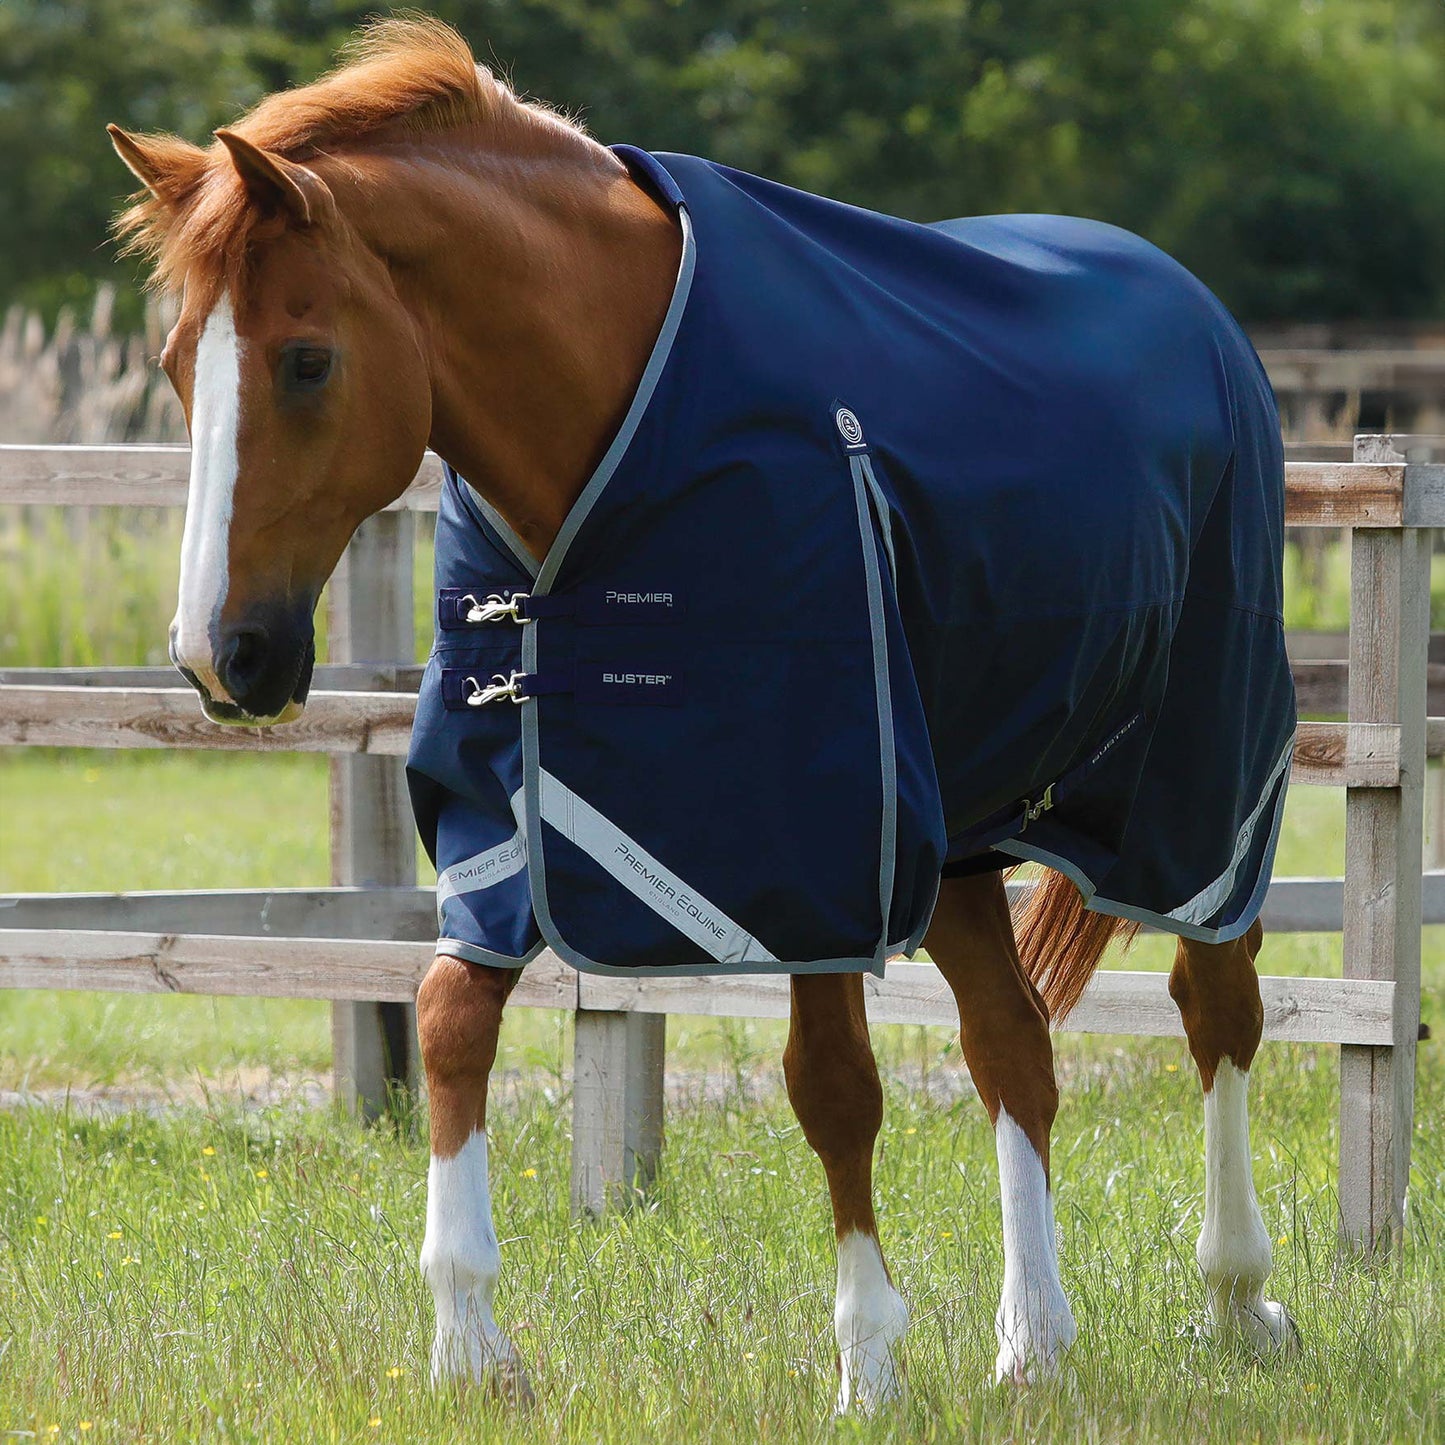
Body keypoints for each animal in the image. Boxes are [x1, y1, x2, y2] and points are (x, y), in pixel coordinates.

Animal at [109, 16, 1298, 1410]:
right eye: (176, 365)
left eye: (306, 360)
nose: (219, 655)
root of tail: (1200, 312)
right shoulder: (514, 815)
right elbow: (449, 1018)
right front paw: (468, 1343)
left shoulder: (810, 842)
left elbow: (831, 1087)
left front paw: (866, 1361)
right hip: (954, 834)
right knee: (1014, 1050)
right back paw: (1032, 1340)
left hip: (1193, 791)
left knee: (1212, 1002)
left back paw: (1235, 1295)